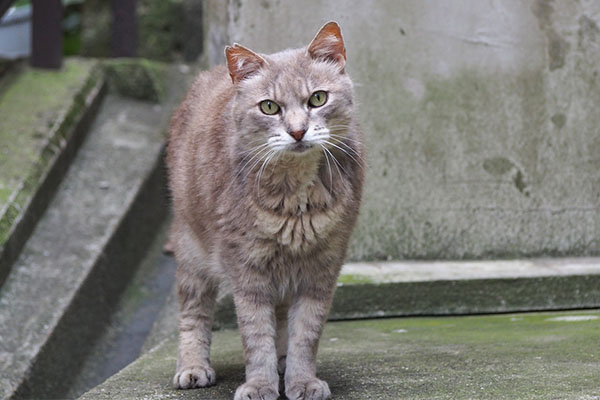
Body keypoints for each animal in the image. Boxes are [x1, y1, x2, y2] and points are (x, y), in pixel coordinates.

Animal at [165, 21, 366, 400]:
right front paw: (260, 384)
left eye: (318, 98)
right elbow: (256, 335)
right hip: (191, 251)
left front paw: (301, 380)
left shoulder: (322, 267)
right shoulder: (248, 268)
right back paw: (193, 367)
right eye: (269, 107)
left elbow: (305, 334)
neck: (296, 196)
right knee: (192, 312)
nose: (298, 131)